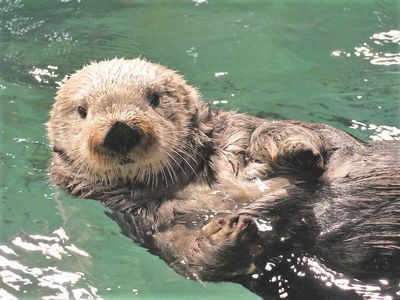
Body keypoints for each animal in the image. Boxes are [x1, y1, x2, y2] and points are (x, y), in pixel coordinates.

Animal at [46, 58, 396, 298]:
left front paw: (296, 148)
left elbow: (301, 132)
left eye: (154, 98)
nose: (120, 131)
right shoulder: (149, 222)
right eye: (82, 111)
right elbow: (190, 258)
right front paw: (225, 232)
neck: (197, 179)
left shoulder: (240, 132)